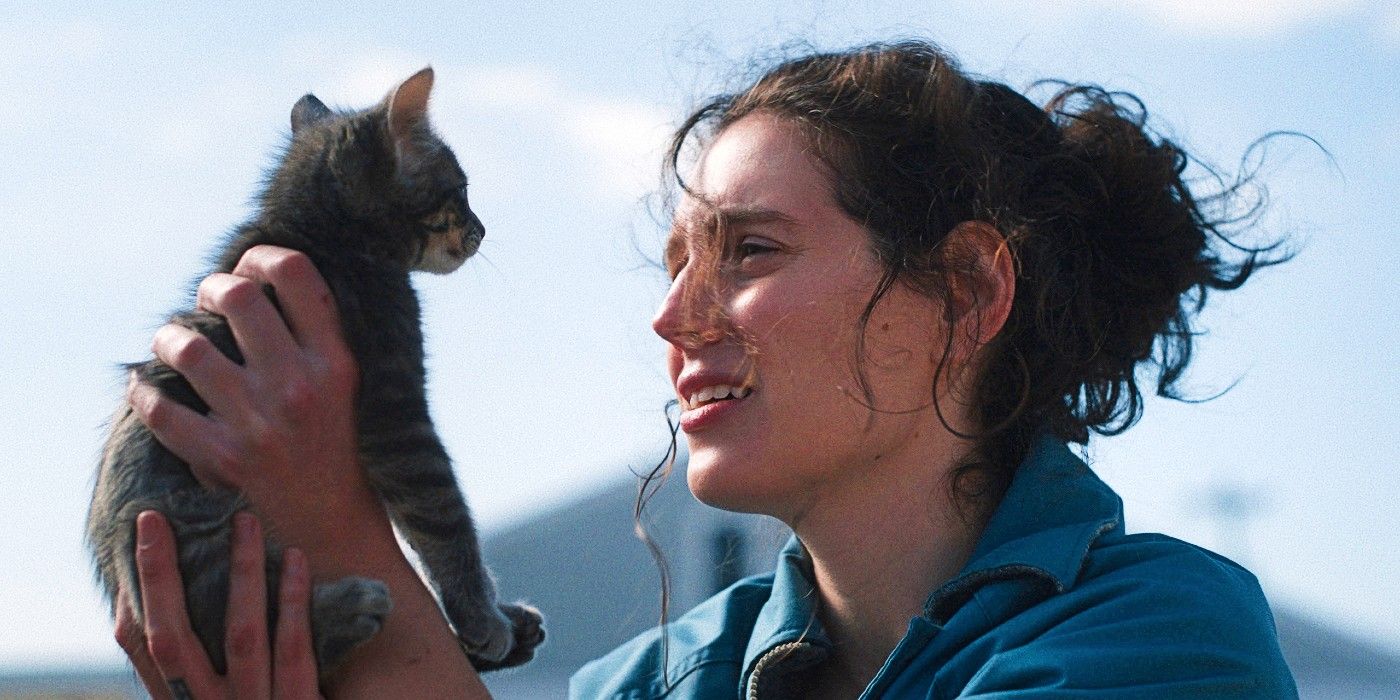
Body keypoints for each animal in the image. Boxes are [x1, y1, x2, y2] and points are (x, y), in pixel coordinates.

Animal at [87, 66, 543, 683]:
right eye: (462, 190)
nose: (483, 229)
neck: (316, 232)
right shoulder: (396, 411)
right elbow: (443, 514)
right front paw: (480, 613)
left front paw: (489, 617)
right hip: (192, 528)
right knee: (237, 631)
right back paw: (350, 609)